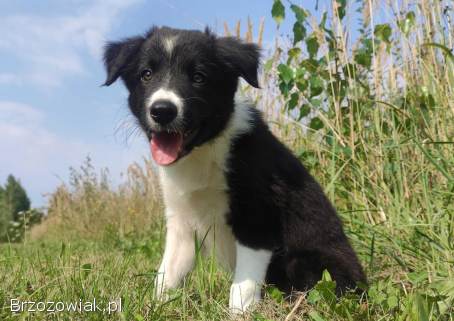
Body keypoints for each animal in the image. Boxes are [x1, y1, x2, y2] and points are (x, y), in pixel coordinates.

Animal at [103, 26, 366, 312]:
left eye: (199, 77)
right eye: (146, 74)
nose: (162, 111)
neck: (204, 151)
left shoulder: (257, 219)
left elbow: (243, 287)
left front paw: (238, 313)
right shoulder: (181, 222)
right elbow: (166, 275)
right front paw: (154, 307)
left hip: (310, 263)